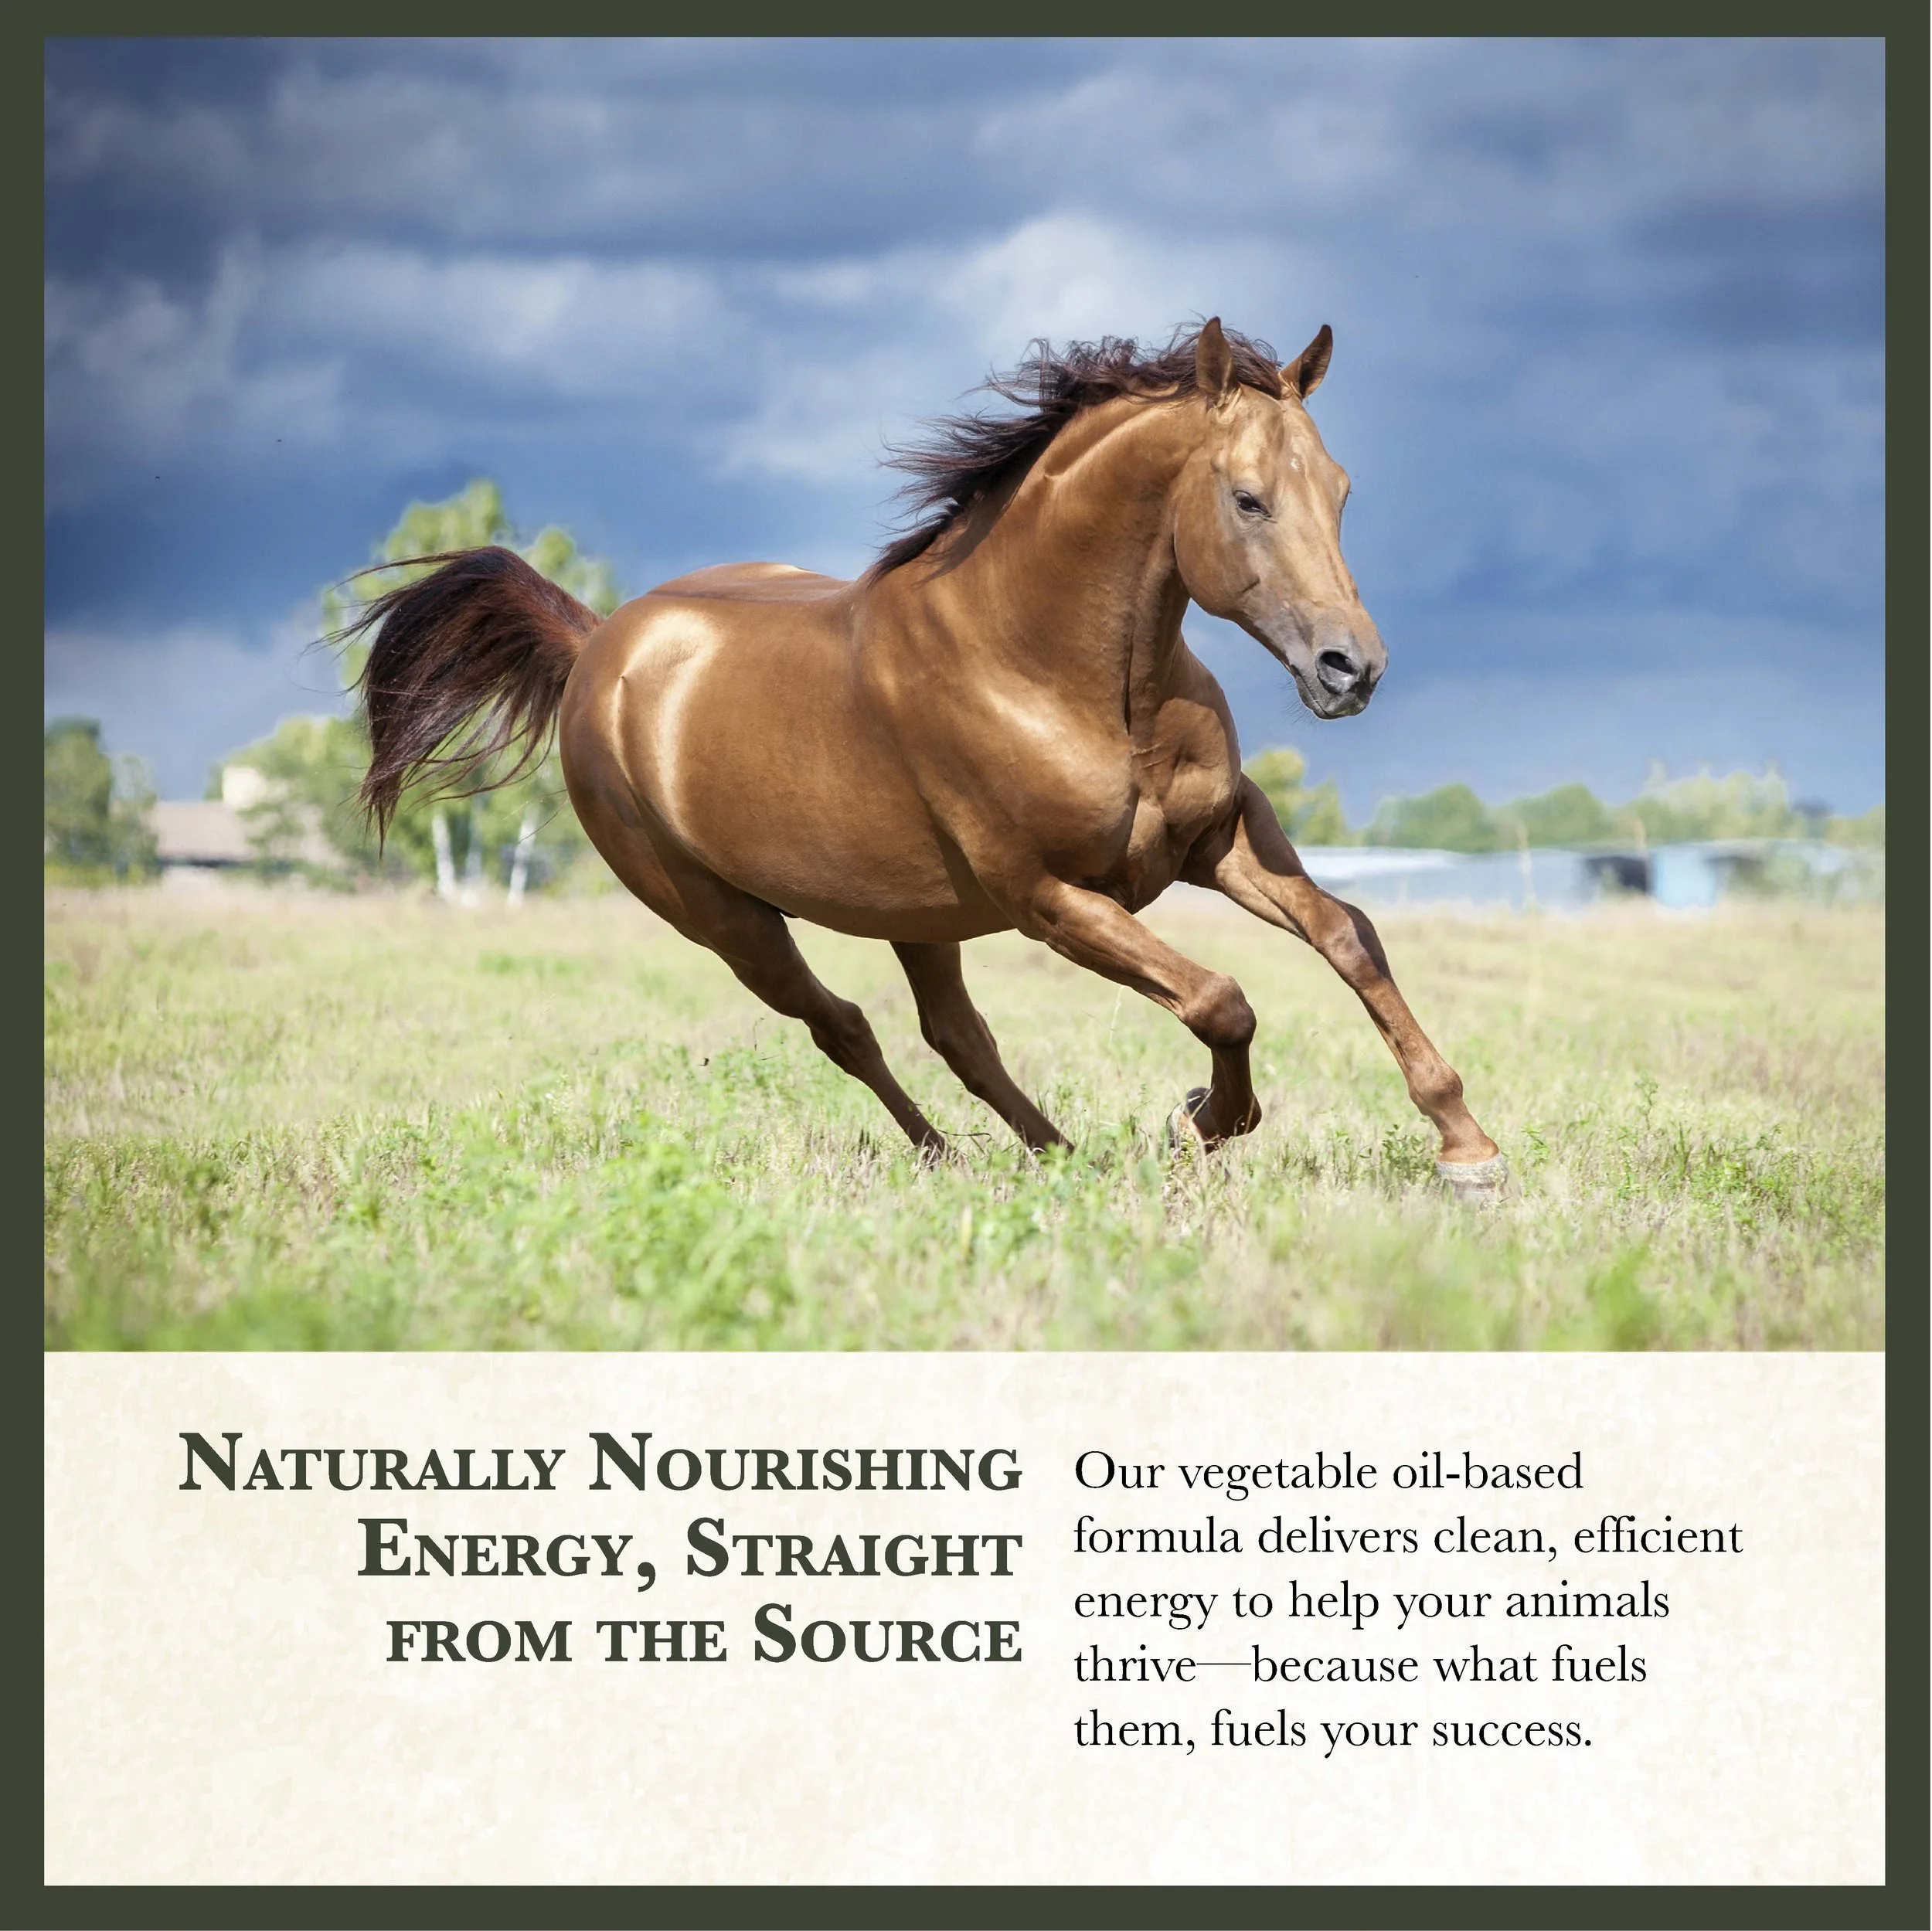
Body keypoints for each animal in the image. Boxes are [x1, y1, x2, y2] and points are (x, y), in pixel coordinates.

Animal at [353, 319, 1506, 1201]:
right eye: (1248, 497)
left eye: (1341, 492)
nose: (1351, 668)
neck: (1045, 664)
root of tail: (598, 644)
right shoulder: (1052, 897)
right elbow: (1221, 999)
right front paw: (1198, 1121)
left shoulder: (1217, 837)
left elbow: (1349, 937)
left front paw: (1467, 1146)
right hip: (725, 919)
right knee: (846, 1028)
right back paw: (954, 1156)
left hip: (917, 912)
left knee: (954, 1032)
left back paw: (1058, 1157)